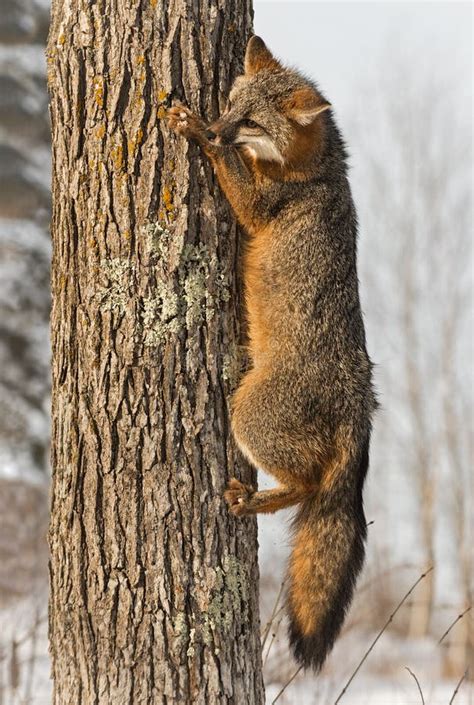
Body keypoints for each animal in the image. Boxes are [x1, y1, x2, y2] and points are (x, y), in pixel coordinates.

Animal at [168, 34, 376, 672]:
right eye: (232, 104)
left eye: (250, 121)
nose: (216, 125)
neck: (319, 169)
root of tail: (362, 400)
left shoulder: (259, 207)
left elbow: (233, 175)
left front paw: (198, 136)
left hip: (247, 417)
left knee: (306, 489)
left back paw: (251, 501)